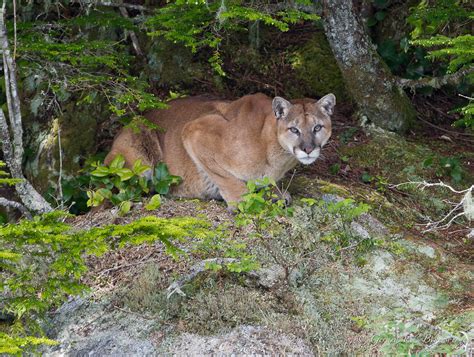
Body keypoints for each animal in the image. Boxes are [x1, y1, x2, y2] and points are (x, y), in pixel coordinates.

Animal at [105, 93, 336, 206]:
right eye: (294, 129)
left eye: (317, 127)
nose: (308, 149)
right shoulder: (194, 130)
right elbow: (225, 177)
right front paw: (242, 201)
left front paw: (274, 192)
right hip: (137, 159)